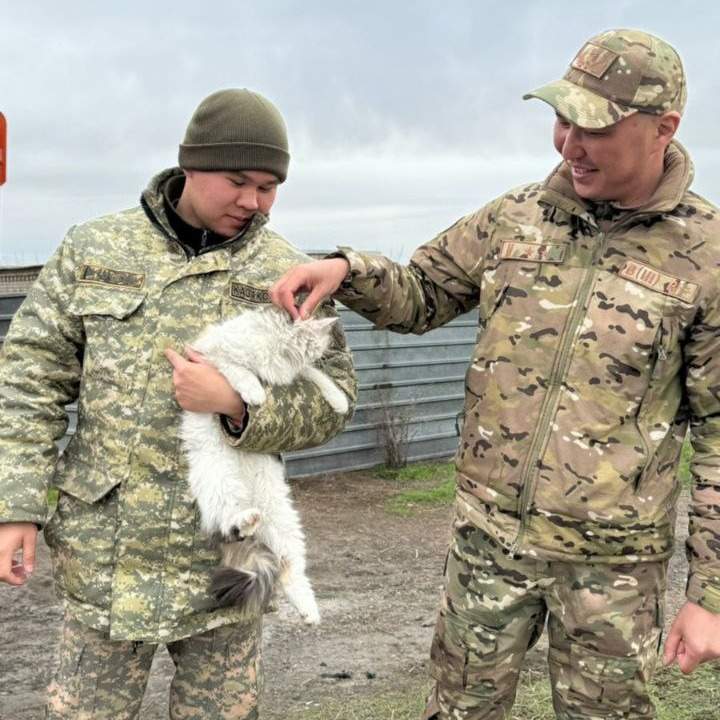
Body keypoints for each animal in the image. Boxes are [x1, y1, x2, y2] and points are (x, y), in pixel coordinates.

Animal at [180, 304, 348, 624]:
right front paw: (253, 391)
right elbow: (236, 369)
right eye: (323, 343)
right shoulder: (209, 352)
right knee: (226, 522)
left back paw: (310, 612)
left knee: (289, 570)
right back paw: (244, 519)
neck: (278, 350)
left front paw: (339, 400)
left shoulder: (292, 373)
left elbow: (317, 377)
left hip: (285, 523)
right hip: (218, 481)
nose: (332, 350)